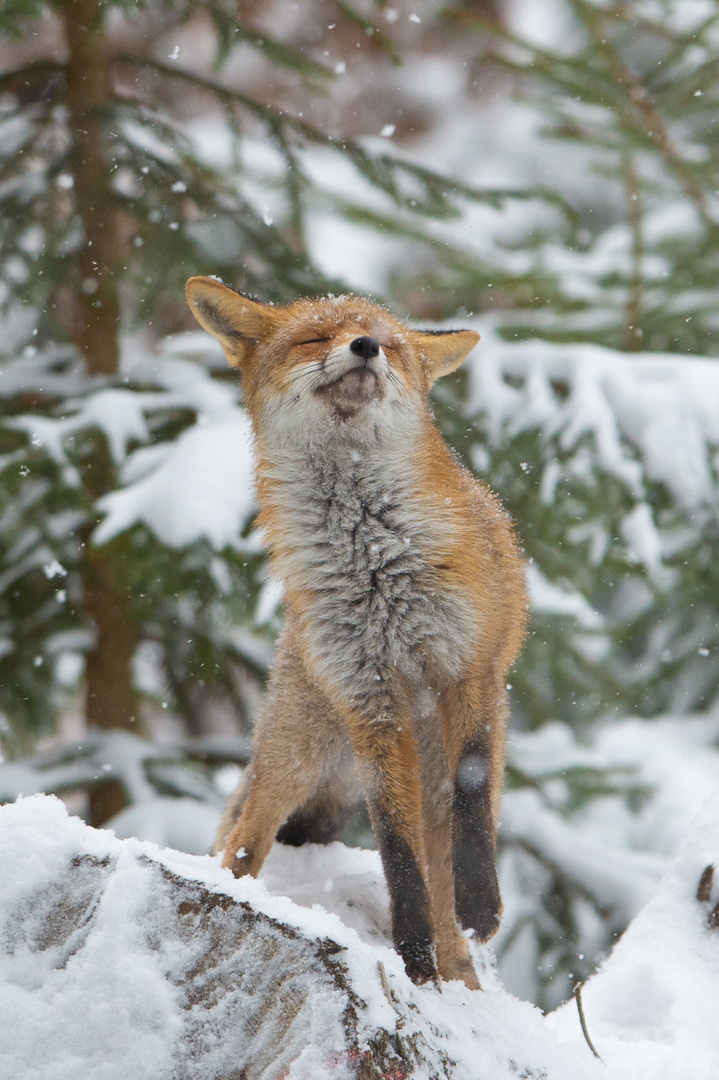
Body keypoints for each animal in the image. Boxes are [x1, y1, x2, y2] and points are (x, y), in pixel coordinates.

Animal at [184, 278, 524, 989]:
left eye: (390, 345)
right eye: (315, 337)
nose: (364, 346)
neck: (374, 565)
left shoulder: (469, 667)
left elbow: (472, 793)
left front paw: (480, 904)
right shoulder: (370, 702)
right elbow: (395, 847)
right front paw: (411, 953)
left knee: (448, 854)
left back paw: (461, 965)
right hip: (294, 756)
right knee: (244, 842)